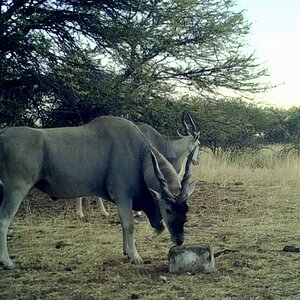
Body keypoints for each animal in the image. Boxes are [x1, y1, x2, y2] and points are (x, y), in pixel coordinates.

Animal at [0, 115, 196, 270]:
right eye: (168, 209)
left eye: (186, 209)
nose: (180, 240)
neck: (139, 154)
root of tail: (2, 136)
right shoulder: (123, 196)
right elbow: (129, 225)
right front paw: (135, 257)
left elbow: (123, 225)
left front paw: (126, 252)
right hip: (15, 191)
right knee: (4, 220)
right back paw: (7, 262)